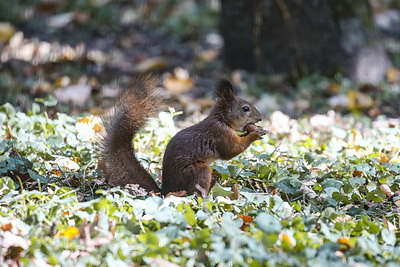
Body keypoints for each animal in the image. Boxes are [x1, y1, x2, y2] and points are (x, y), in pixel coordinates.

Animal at [101, 76, 268, 197]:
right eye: (245, 109)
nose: (260, 118)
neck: (221, 119)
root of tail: (166, 192)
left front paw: (253, 131)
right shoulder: (220, 135)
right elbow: (232, 150)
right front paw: (255, 134)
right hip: (198, 171)